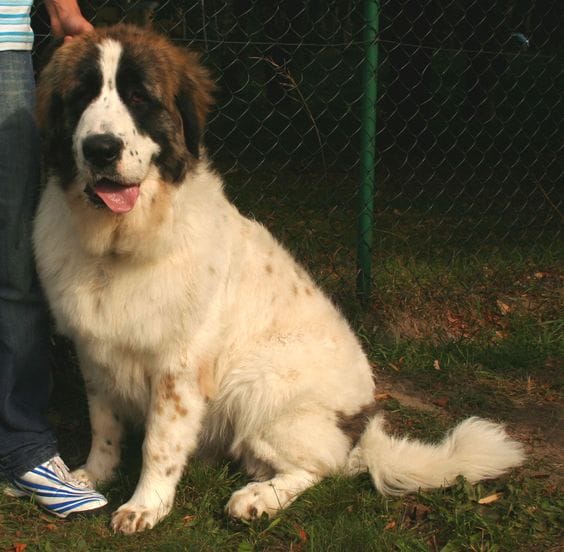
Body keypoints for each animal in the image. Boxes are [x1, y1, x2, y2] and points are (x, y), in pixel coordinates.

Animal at [33, 23, 528, 532]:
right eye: (81, 97)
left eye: (138, 97)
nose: (100, 148)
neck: (117, 247)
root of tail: (361, 431)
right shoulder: (96, 354)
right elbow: (104, 425)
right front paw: (91, 476)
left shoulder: (178, 369)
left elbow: (160, 444)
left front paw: (145, 505)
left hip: (258, 383)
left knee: (324, 467)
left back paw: (258, 499)